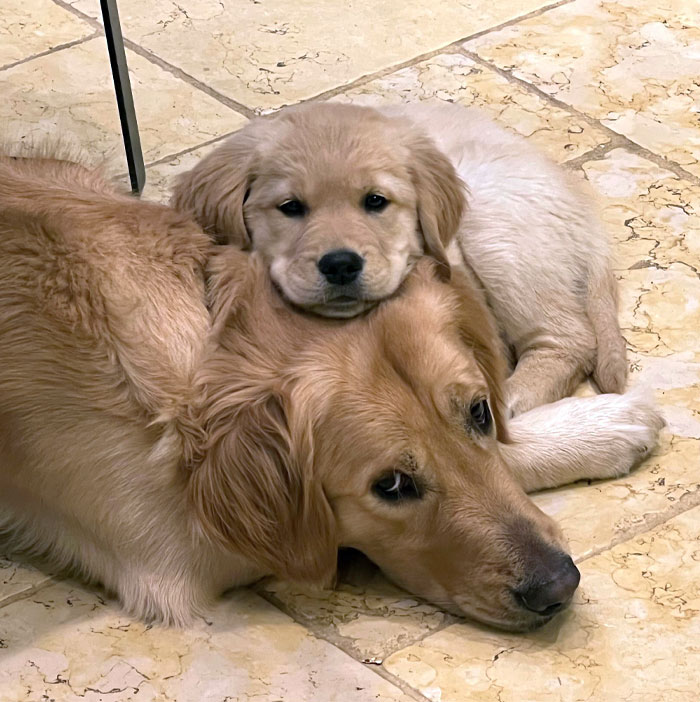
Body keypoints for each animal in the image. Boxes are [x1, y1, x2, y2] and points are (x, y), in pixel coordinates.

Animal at [0, 158, 660, 632]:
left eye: (476, 412)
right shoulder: (176, 550)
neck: (210, 326)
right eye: (390, 486)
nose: (558, 587)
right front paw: (604, 425)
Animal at [174, 102, 628, 416]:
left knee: (569, 338)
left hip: (496, 229)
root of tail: (586, 213)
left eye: (376, 201)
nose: (341, 265)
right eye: (290, 207)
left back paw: (511, 400)